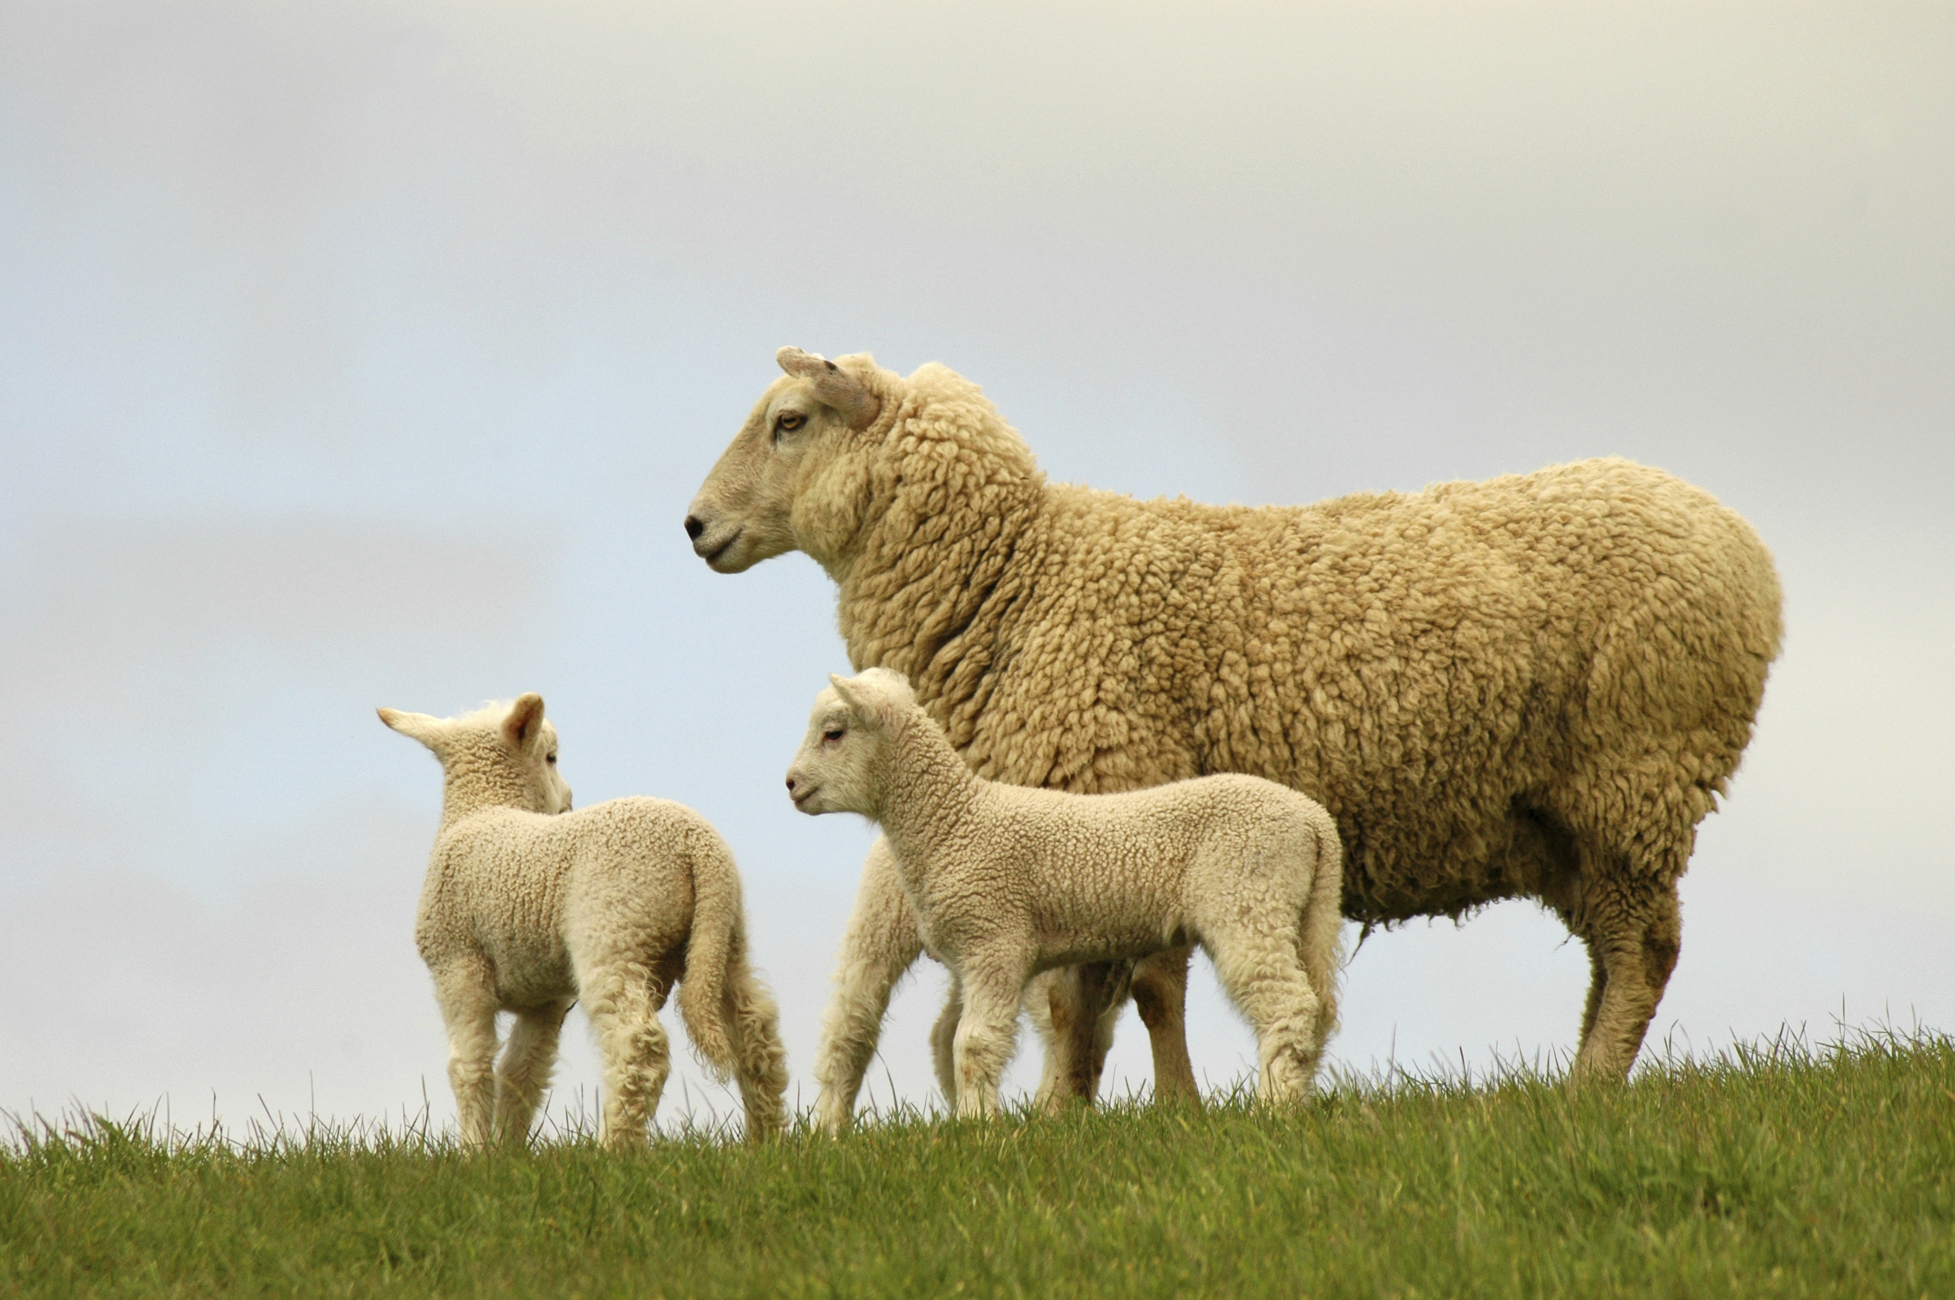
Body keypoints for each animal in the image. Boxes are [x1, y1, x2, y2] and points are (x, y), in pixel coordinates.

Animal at [377, 688, 782, 1149]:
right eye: (551, 758)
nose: (569, 800)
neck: (484, 809)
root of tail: (698, 843)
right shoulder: (544, 996)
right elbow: (522, 1071)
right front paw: (505, 1150)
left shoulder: (457, 966)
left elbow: (470, 1066)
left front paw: (475, 1151)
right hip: (721, 936)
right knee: (756, 1033)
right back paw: (767, 1140)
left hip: (615, 930)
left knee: (637, 1044)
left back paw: (614, 1146)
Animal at [778, 668, 1345, 1118]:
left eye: (833, 733)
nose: (790, 785)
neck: (954, 820)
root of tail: (1315, 823)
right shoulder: (984, 950)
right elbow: (973, 1043)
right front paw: (979, 1123)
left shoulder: (995, 942)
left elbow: (974, 1045)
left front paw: (979, 1128)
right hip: (1302, 911)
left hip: (1248, 896)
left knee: (1289, 1005)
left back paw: (1274, 1110)